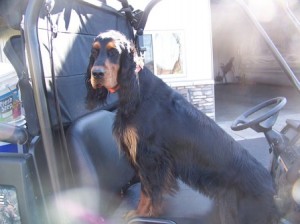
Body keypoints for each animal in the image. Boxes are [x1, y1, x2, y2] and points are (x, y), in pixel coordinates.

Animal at [85, 30, 278, 224]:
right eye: (94, 51)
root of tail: (273, 190)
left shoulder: (150, 157)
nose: (96, 73)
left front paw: (144, 214)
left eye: (113, 52)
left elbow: (148, 191)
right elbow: (146, 190)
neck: (137, 91)